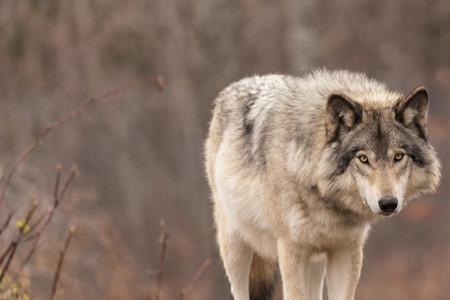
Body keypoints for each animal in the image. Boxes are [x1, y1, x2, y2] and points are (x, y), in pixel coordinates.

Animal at [205, 69, 442, 300]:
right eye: (363, 158)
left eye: (399, 156)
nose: (388, 203)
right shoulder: (291, 251)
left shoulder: (346, 250)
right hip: (235, 249)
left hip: (316, 262)